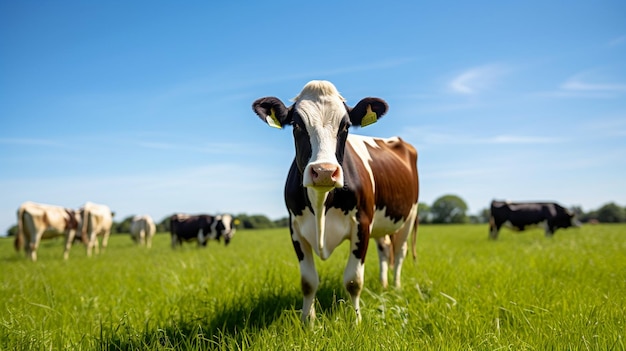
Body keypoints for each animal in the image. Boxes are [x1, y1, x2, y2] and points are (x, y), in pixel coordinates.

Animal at [250, 80, 420, 324]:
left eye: (346, 126)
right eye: (296, 125)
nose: (323, 171)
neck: (321, 205)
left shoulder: (362, 224)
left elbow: (353, 280)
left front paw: (356, 322)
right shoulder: (295, 228)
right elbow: (308, 281)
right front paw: (308, 322)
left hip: (409, 216)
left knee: (399, 252)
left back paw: (395, 287)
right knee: (385, 248)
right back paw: (383, 285)